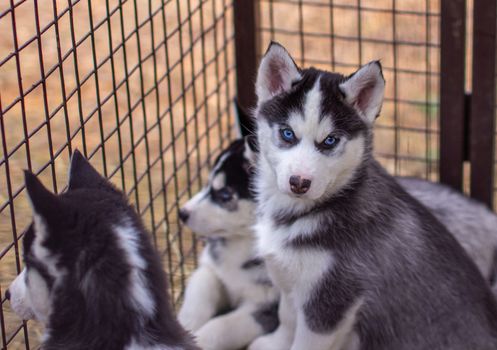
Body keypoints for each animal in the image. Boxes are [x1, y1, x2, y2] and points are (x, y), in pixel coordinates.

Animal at [177, 139, 280, 350]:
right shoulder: (211, 268)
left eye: (225, 195)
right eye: (207, 185)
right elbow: (198, 293)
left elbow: (222, 327)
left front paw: (200, 339)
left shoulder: (267, 307)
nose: (182, 213)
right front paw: (185, 325)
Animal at [250, 43, 496, 350]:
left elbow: (304, 342)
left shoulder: (332, 300)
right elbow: (286, 317)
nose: (299, 183)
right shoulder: (290, 278)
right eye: (287, 133)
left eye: (330, 141)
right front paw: (274, 342)